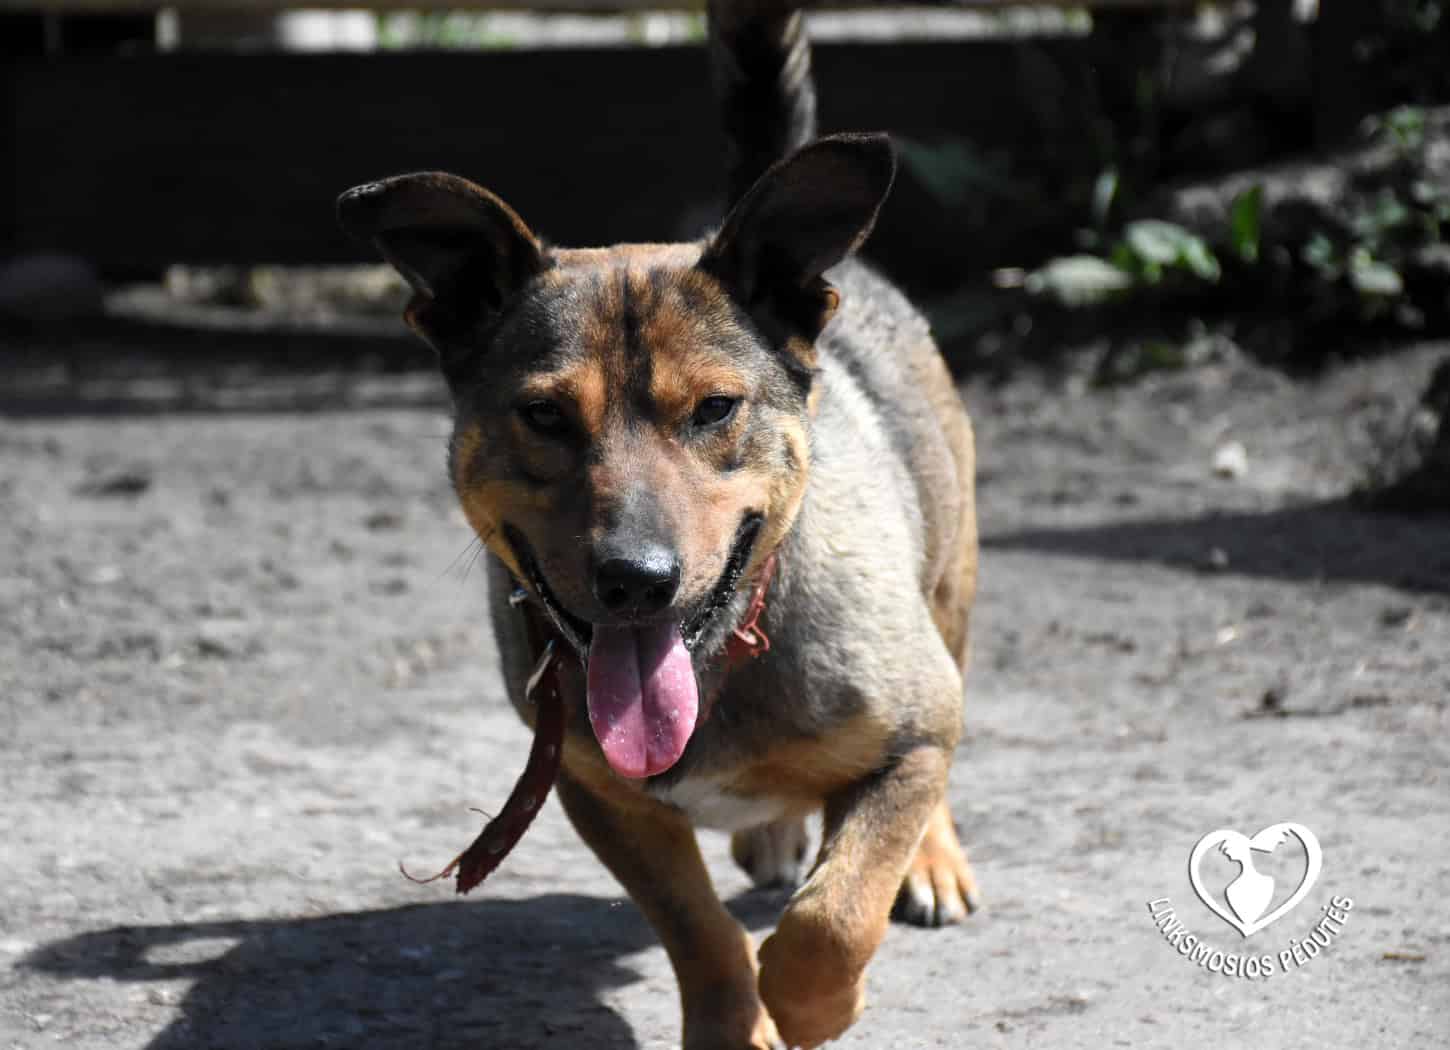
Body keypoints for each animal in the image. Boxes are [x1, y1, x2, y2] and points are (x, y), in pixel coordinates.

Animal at [337, 2, 979, 1045]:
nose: (635, 580)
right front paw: (732, 1022)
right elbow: (701, 932)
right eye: (545, 415)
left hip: (949, 587)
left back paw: (930, 860)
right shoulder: (594, 791)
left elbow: (835, 917)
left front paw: (811, 1000)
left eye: (715, 410)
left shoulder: (914, 730)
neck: (721, 653)